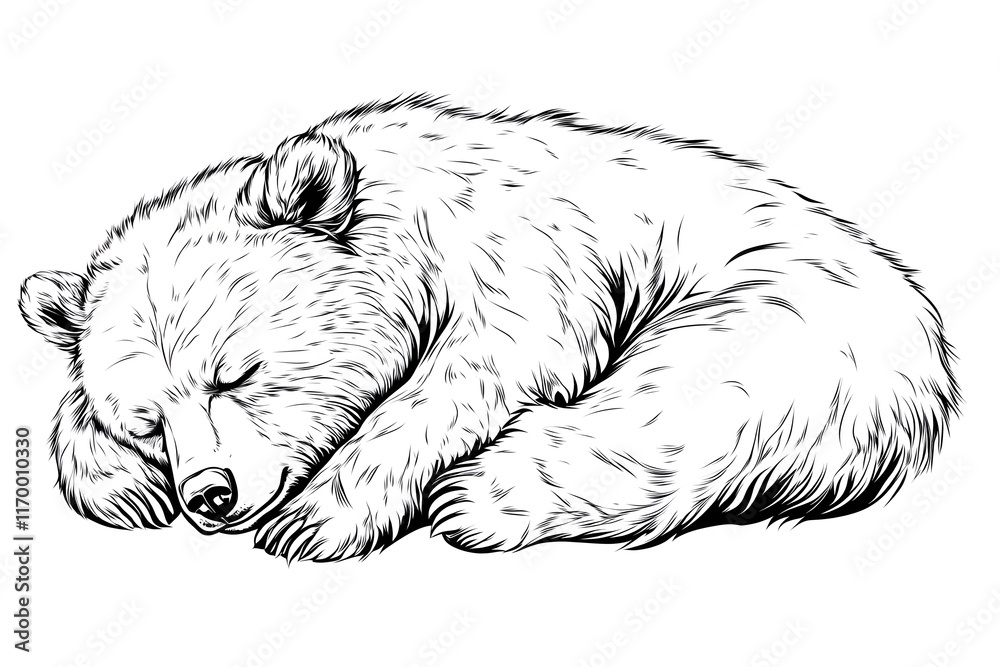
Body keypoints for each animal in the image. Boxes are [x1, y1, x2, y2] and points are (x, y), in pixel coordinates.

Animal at [20, 94, 959, 562]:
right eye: (147, 420)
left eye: (238, 373)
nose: (208, 494)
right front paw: (124, 485)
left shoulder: (529, 254)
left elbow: (486, 364)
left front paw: (317, 517)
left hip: (782, 328)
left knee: (672, 409)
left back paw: (482, 496)